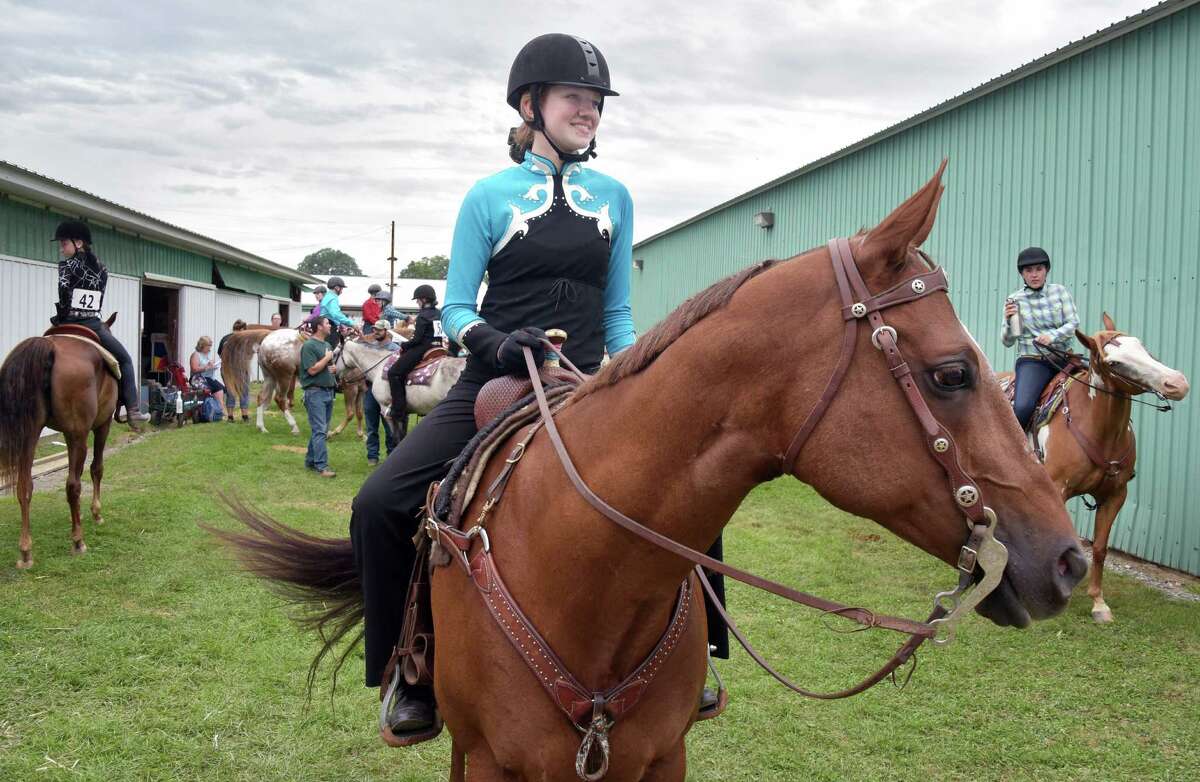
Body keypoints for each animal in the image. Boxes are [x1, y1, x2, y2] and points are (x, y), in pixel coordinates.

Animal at [0, 316, 120, 568]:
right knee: (72, 485)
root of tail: (48, 347)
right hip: (79, 435)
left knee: (24, 486)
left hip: (29, 434)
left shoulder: (66, 433)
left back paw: (25, 552)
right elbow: (97, 469)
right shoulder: (101, 425)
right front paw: (96, 513)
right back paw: (78, 541)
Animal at [1003, 314, 1190, 623]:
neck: (1097, 429)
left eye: (1141, 344)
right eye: (1114, 363)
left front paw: (1098, 603)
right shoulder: (1057, 490)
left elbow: (1100, 548)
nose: (1177, 383)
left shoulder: (1115, 495)